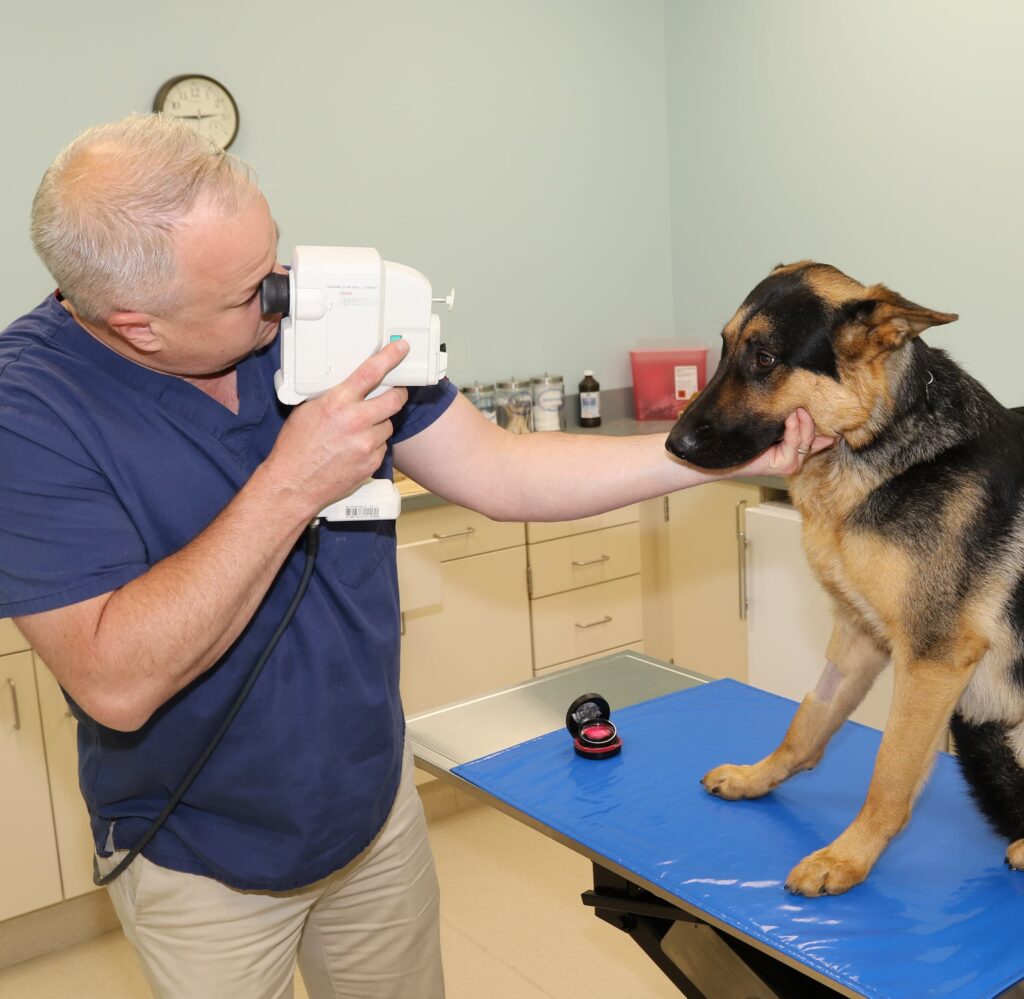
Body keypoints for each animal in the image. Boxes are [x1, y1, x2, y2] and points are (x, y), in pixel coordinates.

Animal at [663, 264, 1024, 896]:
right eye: (725, 348)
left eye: (764, 358)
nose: (671, 445)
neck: (879, 442)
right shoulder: (858, 636)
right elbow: (808, 721)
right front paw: (757, 777)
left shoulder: (932, 661)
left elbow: (890, 772)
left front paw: (848, 857)